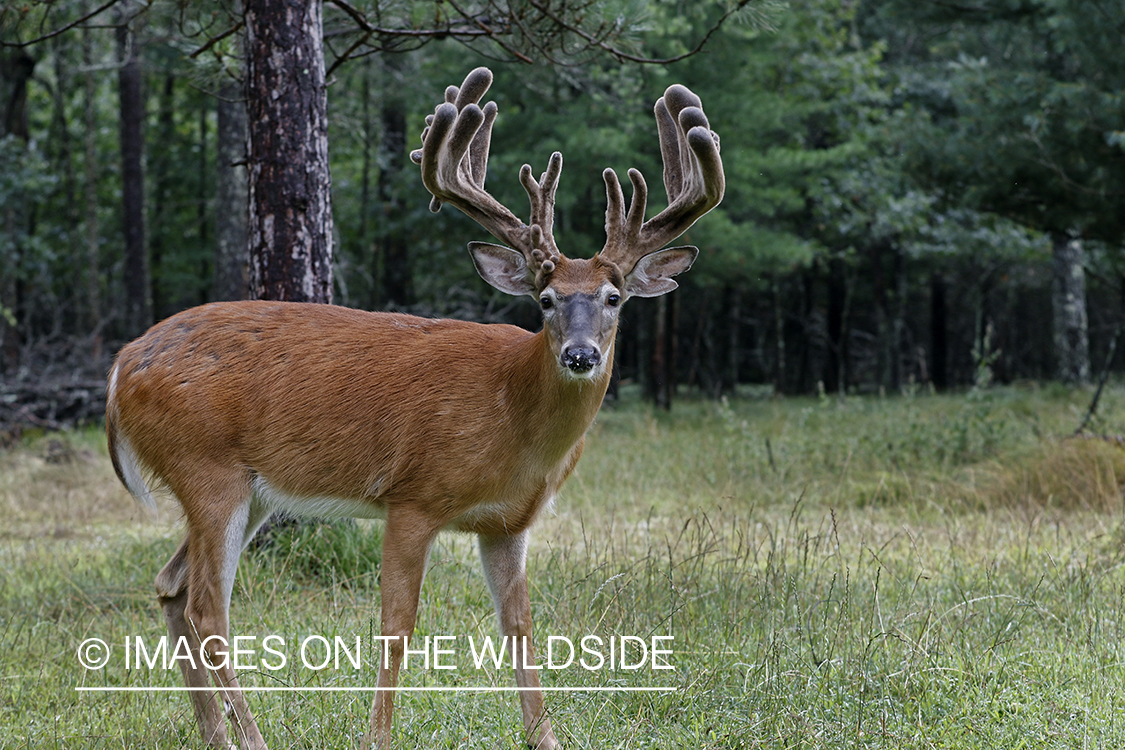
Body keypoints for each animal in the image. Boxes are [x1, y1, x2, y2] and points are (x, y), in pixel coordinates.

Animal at [103, 67, 720, 746]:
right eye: (546, 299)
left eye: (614, 298)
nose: (581, 355)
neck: (514, 413)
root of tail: (120, 367)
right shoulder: (413, 495)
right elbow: (396, 628)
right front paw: (376, 736)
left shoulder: (508, 523)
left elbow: (520, 628)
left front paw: (545, 737)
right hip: (208, 469)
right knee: (207, 607)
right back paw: (254, 737)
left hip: (248, 488)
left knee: (170, 586)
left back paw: (216, 733)